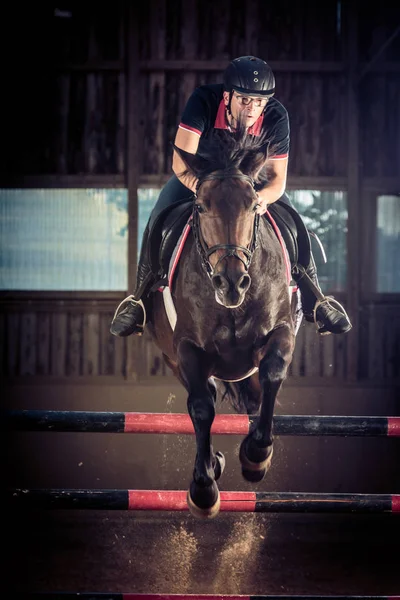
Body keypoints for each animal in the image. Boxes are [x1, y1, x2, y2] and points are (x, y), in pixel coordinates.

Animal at [145, 126, 298, 520]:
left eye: (253, 205)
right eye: (200, 206)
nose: (231, 282)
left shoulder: (280, 332)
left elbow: (273, 374)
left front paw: (256, 457)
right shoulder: (187, 349)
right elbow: (201, 408)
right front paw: (203, 489)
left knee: (256, 398)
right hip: (177, 360)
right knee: (204, 400)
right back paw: (212, 464)